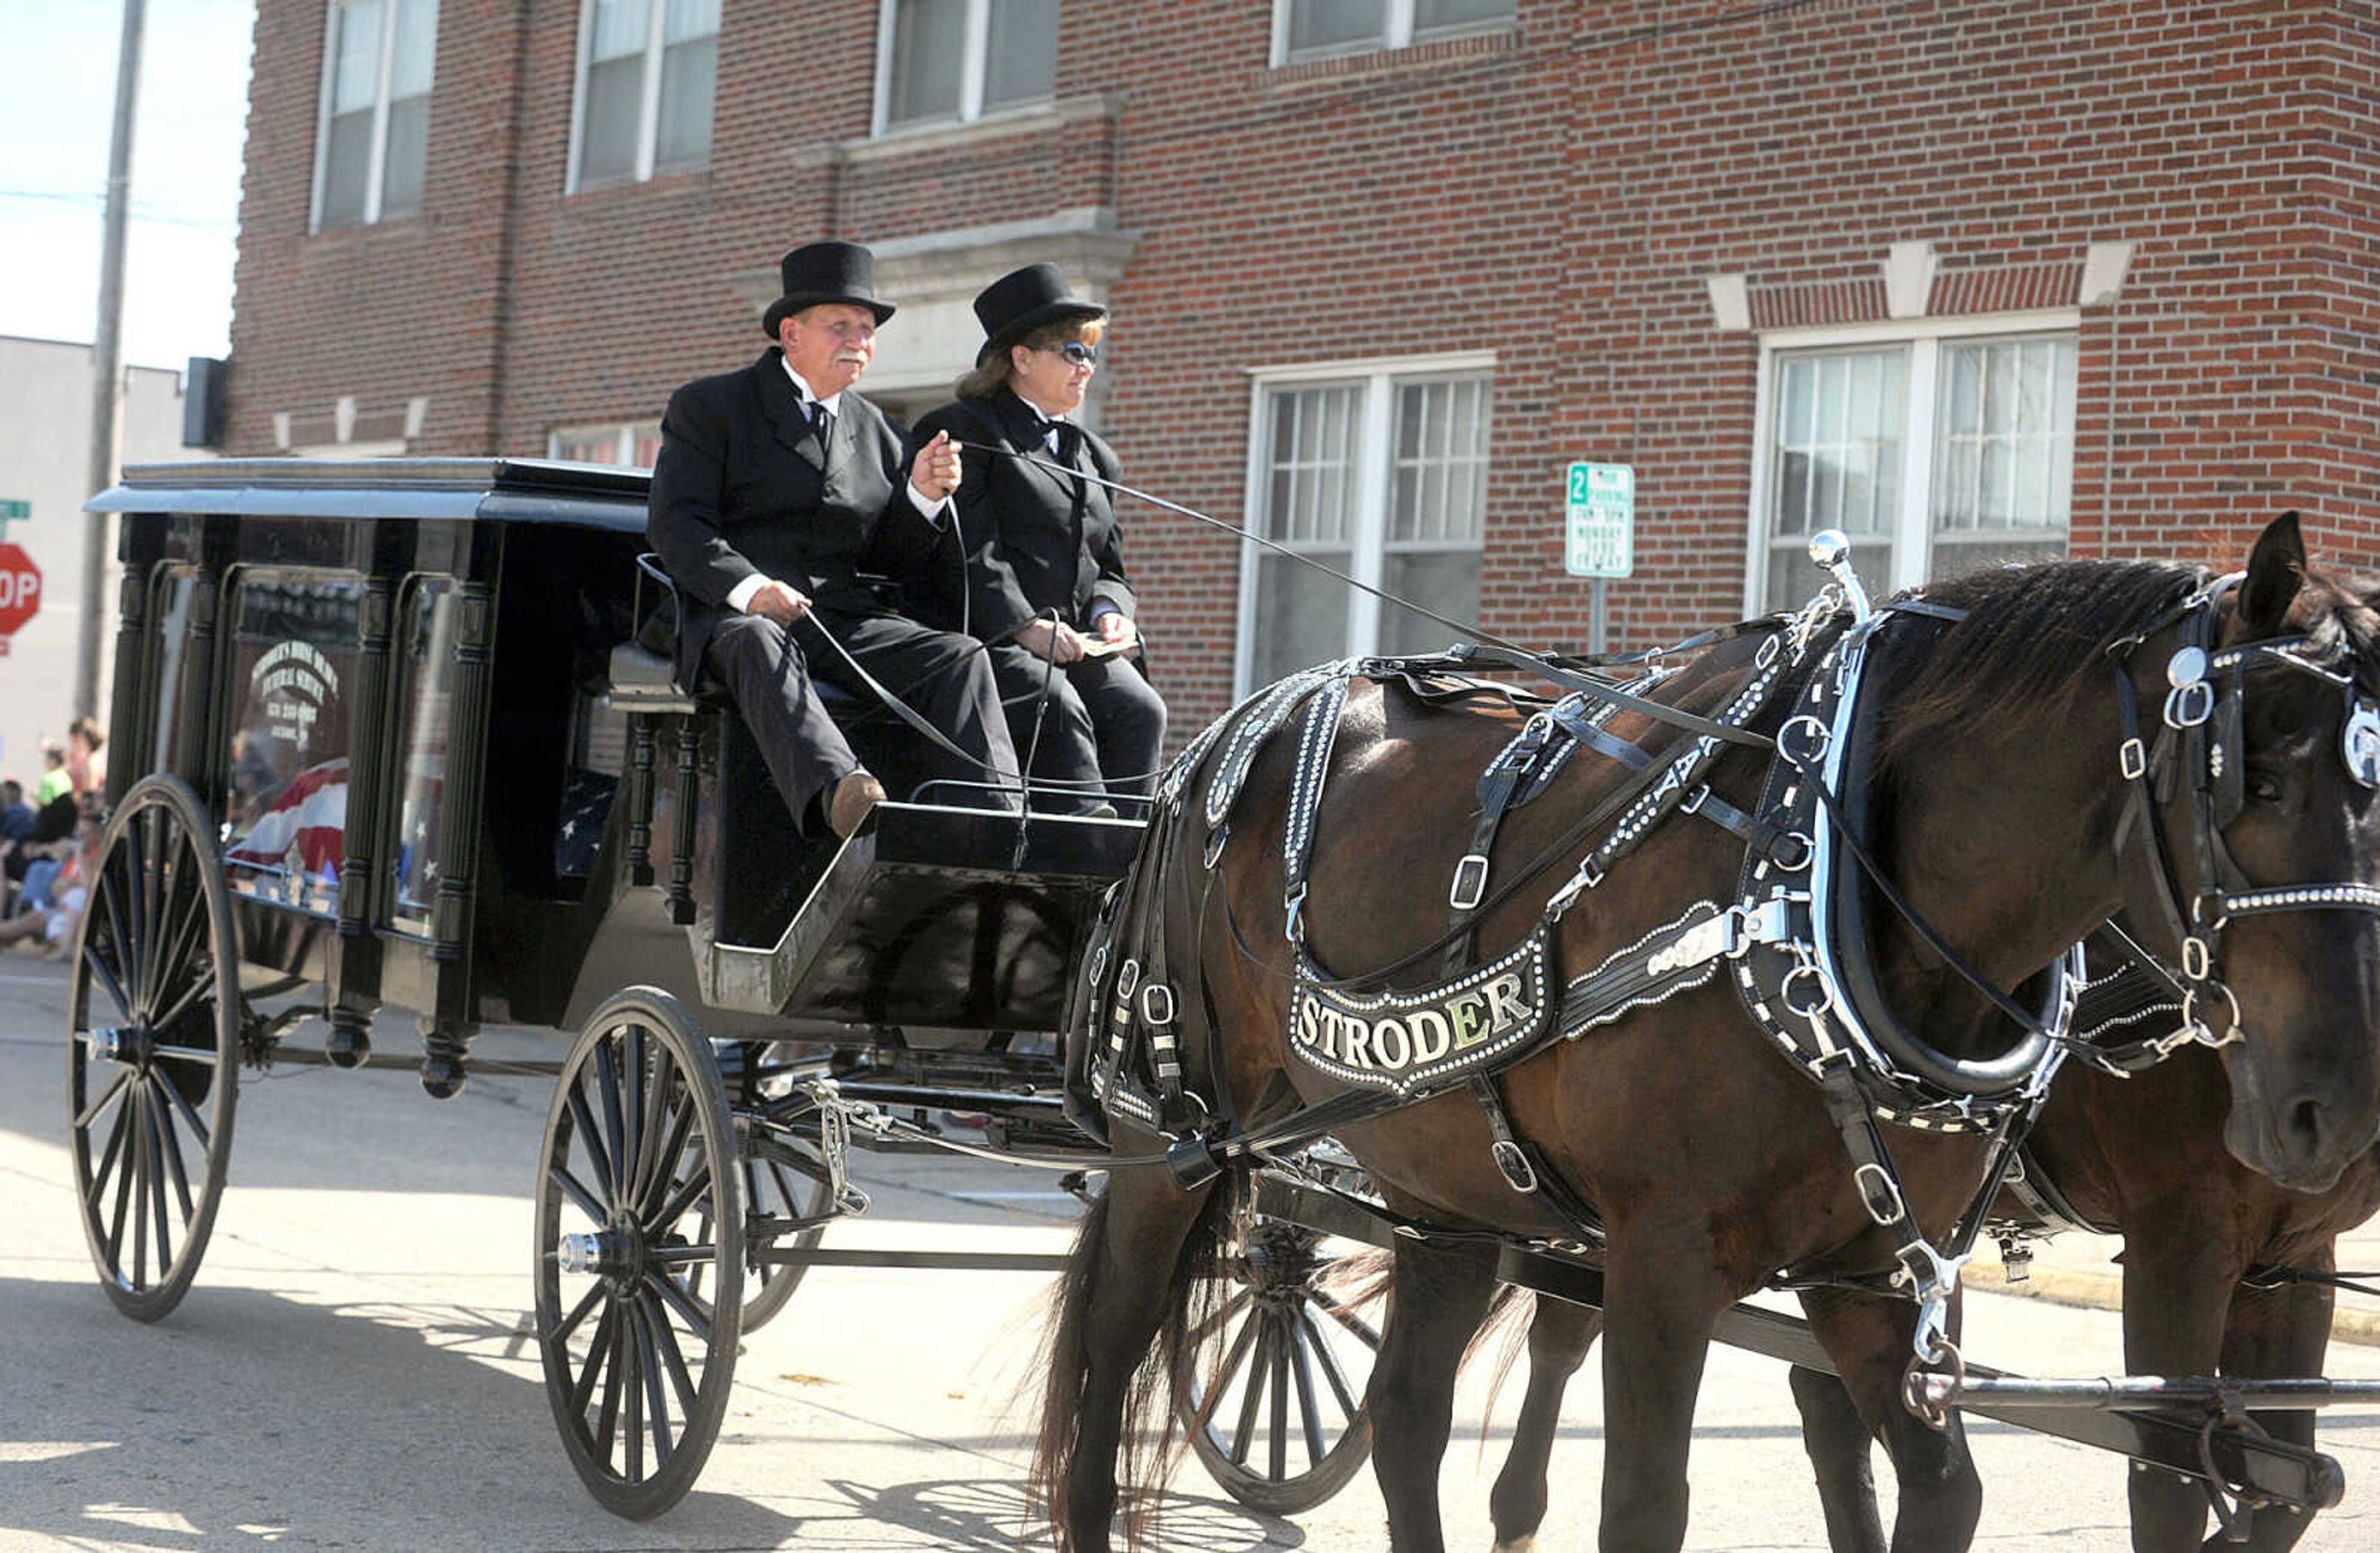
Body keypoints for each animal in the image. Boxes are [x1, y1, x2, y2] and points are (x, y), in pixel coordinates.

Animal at [1038, 521, 2380, 1551]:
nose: (2335, 1104)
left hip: (1446, 1184)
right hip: (1174, 1135)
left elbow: (1958, 1490)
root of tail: (1232, 732)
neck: (1821, 877)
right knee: (1117, 1346)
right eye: (2251, 780)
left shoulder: (1876, 1276)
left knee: (1408, 1410)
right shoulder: (1673, 1254)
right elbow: (1648, 1505)